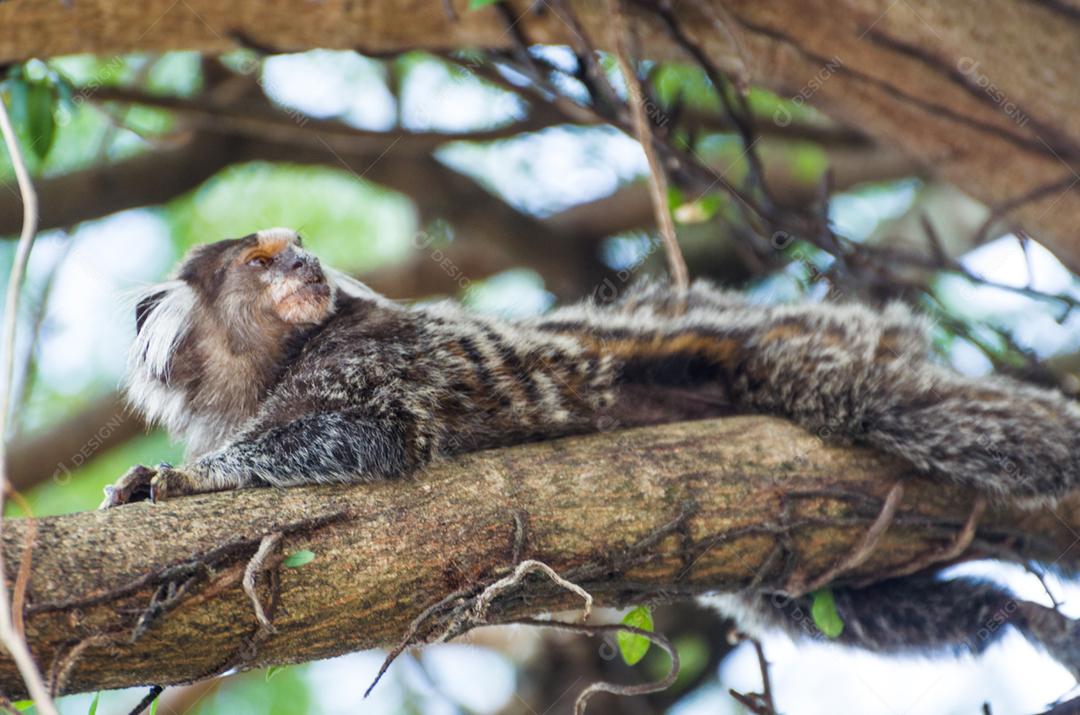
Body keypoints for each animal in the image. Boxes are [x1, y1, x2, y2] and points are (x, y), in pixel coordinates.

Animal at [104, 227, 1080, 678]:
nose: (306, 266)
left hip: (807, 358)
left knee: (942, 416)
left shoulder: (374, 354)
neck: (278, 363)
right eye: (264, 261)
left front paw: (183, 480)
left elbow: (369, 432)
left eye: (299, 251)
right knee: (795, 596)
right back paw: (1014, 614)